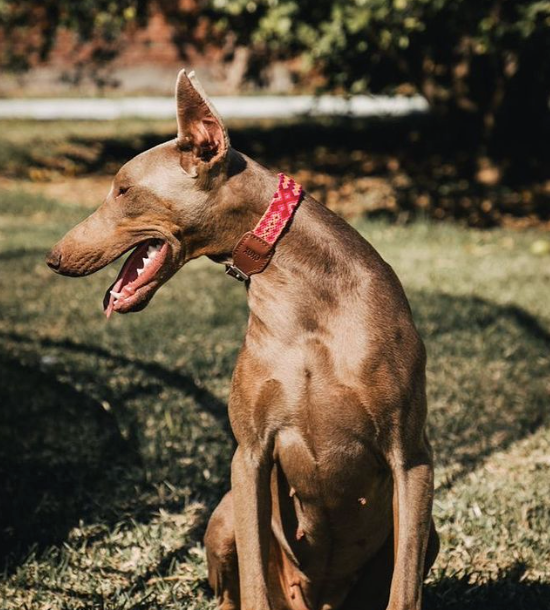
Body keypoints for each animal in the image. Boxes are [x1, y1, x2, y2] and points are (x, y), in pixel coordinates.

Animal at [49, 69, 442, 604]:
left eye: (124, 190)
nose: (52, 257)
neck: (304, 296)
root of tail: (315, 600)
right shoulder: (250, 454)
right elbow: (254, 581)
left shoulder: (412, 459)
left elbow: (404, 589)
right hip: (223, 513)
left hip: (430, 533)